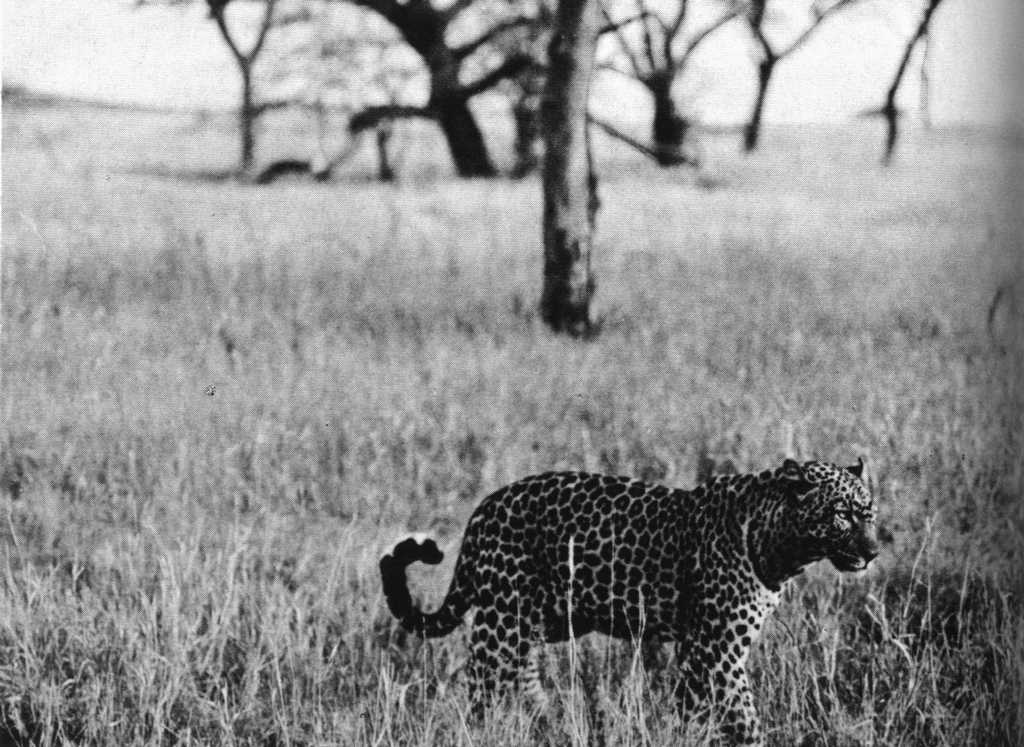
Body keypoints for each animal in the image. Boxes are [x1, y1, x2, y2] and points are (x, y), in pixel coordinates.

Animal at [379, 458, 879, 744]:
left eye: (870, 515)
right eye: (841, 514)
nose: (874, 552)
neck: (780, 545)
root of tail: (482, 509)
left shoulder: (699, 651)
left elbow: (694, 708)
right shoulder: (716, 651)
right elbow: (743, 718)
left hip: (533, 624)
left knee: (525, 680)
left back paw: (551, 727)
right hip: (502, 623)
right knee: (480, 690)